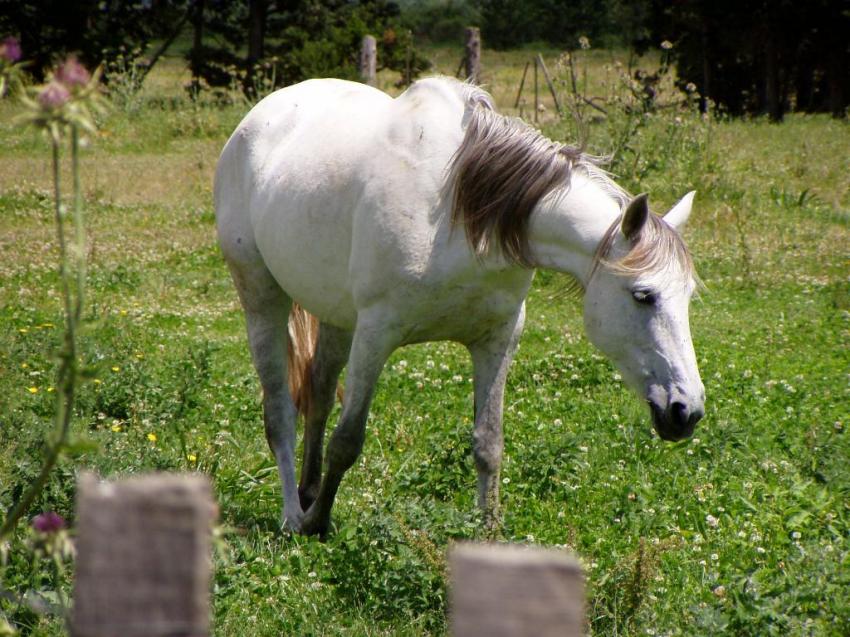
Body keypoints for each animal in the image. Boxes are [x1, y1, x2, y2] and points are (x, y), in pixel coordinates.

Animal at [214, 77, 705, 536]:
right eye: (643, 295)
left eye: (686, 298)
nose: (687, 411)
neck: (461, 213)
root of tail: (259, 116)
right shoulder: (376, 333)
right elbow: (348, 441)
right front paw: (317, 522)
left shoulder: (497, 337)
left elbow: (488, 444)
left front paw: (488, 532)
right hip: (262, 298)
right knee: (279, 413)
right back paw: (293, 514)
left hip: (337, 316)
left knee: (317, 394)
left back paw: (308, 490)